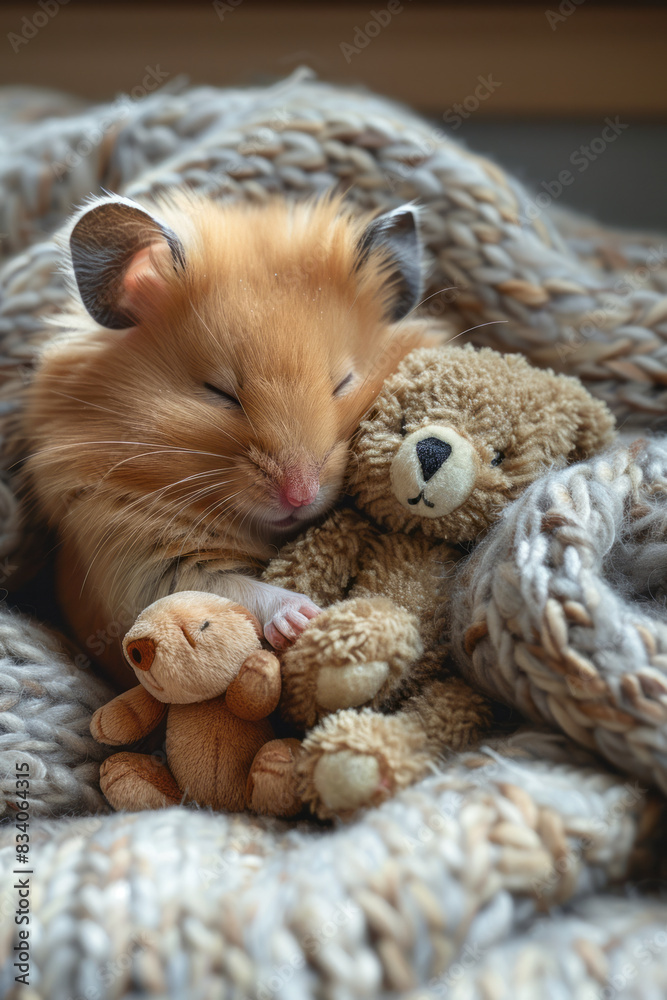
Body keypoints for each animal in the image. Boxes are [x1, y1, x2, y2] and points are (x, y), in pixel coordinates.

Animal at [22, 191, 444, 686]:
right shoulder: (131, 557)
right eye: (220, 393)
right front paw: (305, 618)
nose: (300, 496)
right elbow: (224, 590)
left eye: (342, 383)